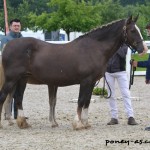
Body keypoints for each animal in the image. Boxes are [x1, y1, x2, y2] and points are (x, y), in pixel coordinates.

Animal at [0, 15, 146, 129]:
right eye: (133, 30)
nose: (143, 49)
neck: (94, 48)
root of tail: (7, 45)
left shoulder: (91, 82)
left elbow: (87, 101)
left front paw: (85, 123)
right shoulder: (85, 81)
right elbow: (81, 101)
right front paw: (78, 123)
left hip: (22, 79)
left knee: (18, 98)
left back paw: (23, 123)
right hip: (11, 79)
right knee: (4, 96)